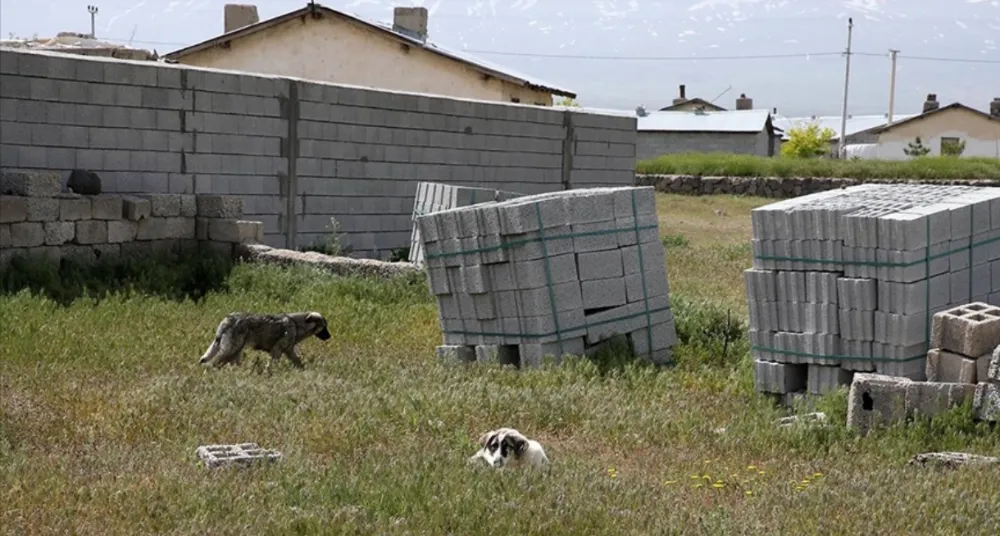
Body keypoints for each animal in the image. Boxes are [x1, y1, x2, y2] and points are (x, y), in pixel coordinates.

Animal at [198, 310, 332, 372]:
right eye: (324, 327)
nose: (330, 337)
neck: (298, 325)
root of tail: (227, 320)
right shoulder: (277, 350)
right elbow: (271, 364)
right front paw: (269, 373)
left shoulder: (289, 351)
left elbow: (298, 361)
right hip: (231, 348)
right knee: (214, 362)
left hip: (236, 350)